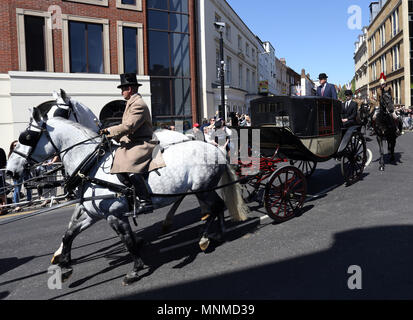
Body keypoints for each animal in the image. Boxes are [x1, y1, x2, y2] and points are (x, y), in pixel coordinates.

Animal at [7, 107, 248, 284]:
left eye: (26, 137)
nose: (10, 171)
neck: (93, 164)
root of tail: (217, 149)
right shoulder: (93, 213)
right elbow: (69, 234)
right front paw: (64, 266)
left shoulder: (114, 215)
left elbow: (128, 240)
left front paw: (135, 269)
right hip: (199, 190)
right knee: (215, 207)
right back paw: (215, 233)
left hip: (203, 189)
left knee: (215, 206)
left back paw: (206, 238)